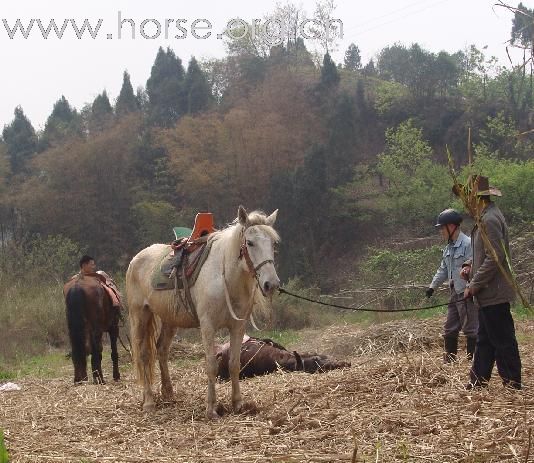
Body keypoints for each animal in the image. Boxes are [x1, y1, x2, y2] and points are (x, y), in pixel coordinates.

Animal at [127, 208, 282, 418]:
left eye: (273, 243)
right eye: (250, 243)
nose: (271, 284)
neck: (225, 277)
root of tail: (136, 259)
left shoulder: (237, 327)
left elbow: (234, 364)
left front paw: (238, 404)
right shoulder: (208, 326)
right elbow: (211, 365)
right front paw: (211, 408)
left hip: (170, 320)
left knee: (161, 350)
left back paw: (168, 394)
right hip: (140, 315)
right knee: (143, 354)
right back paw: (149, 402)